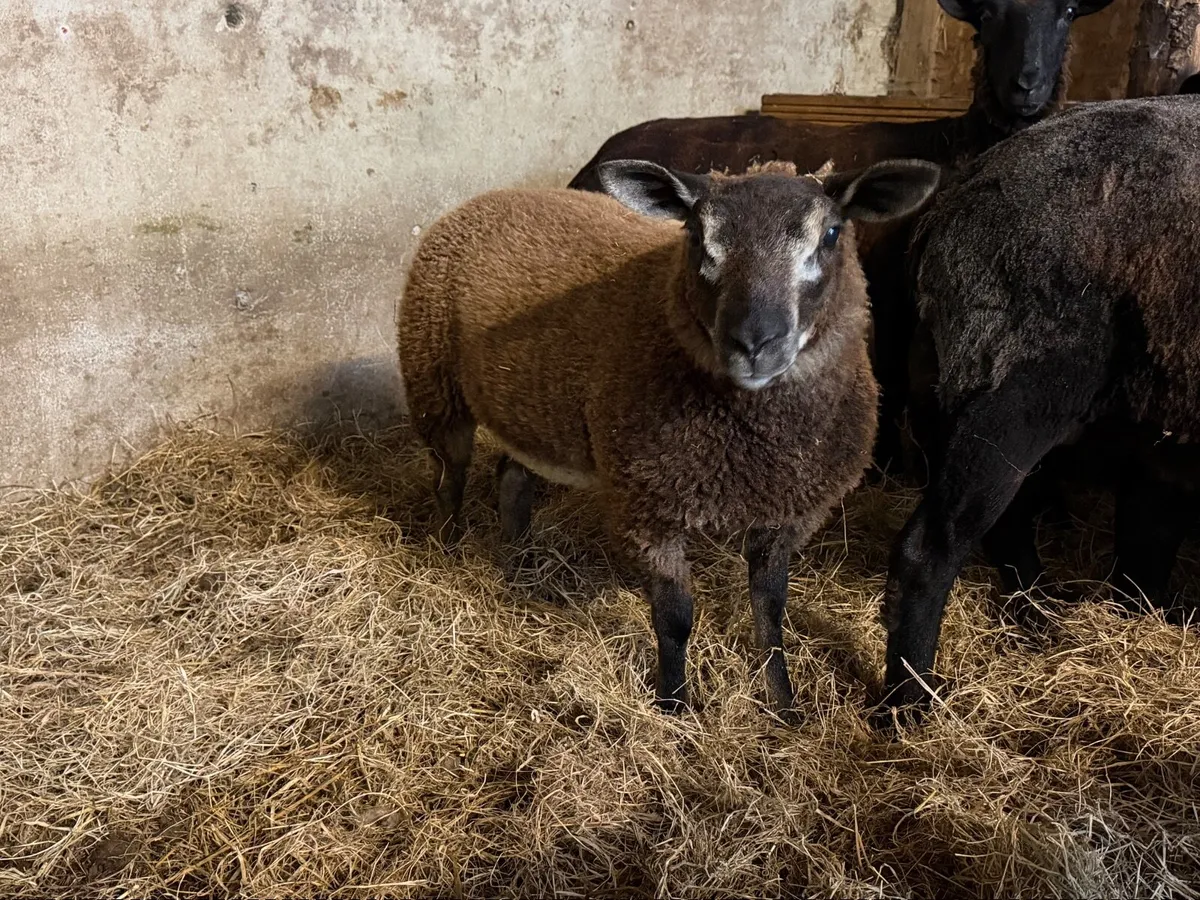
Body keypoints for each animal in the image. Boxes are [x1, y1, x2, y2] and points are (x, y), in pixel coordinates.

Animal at [399, 158, 941, 718]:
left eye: (831, 233)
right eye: (698, 236)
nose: (753, 343)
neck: (757, 446)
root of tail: (492, 197)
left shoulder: (787, 513)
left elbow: (771, 612)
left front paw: (784, 704)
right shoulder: (650, 508)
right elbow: (675, 619)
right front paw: (675, 705)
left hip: (528, 408)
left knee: (512, 476)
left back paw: (517, 564)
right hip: (432, 378)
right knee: (450, 478)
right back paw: (447, 547)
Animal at [569, 0, 1118, 474]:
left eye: (1068, 11)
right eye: (986, 14)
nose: (1027, 85)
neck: (957, 143)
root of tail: (594, 160)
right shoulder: (894, 288)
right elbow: (892, 375)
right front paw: (884, 465)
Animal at [878, 95, 1200, 719]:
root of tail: (959, 197)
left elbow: (1147, 542)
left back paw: (1043, 619)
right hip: (1020, 380)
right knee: (931, 548)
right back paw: (910, 704)